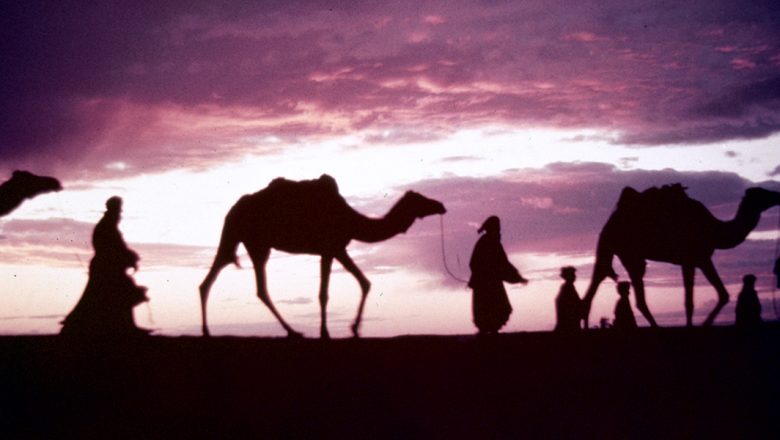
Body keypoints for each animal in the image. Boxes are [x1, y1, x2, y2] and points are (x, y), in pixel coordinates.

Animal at [198, 174, 448, 338]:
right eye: (421, 199)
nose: (441, 205)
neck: (351, 220)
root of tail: (232, 209)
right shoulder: (330, 249)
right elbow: (324, 294)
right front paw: (326, 332)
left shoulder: (337, 249)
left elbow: (364, 282)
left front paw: (354, 329)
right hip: (253, 241)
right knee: (256, 286)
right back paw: (292, 332)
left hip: (242, 238)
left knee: (215, 276)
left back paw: (208, 331)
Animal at [580, 184, 776, 328]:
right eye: (762, 193)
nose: (777, 194)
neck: (715, 230)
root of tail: (612, 220)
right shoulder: (694, 258)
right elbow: (693, 301)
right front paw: (698, 326)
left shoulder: (698, 260)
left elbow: (720, 294)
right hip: (625, 251)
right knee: (627, 290)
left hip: (617, 250)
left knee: (601, 278)